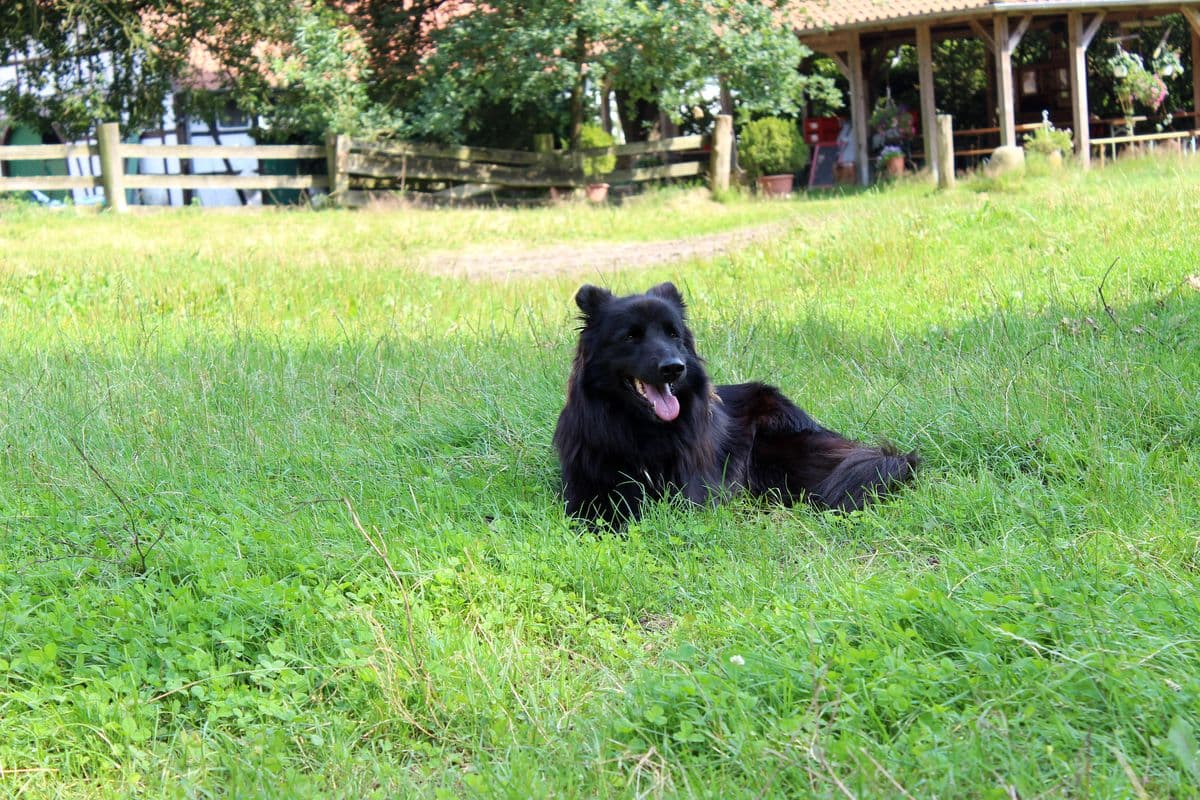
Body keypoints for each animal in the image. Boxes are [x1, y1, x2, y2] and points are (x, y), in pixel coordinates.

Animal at [554, 283, 916, 525]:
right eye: (630, 336)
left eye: (673, 335)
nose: (674, 367)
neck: (640, 432)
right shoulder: (584, 486)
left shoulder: (691, 492)